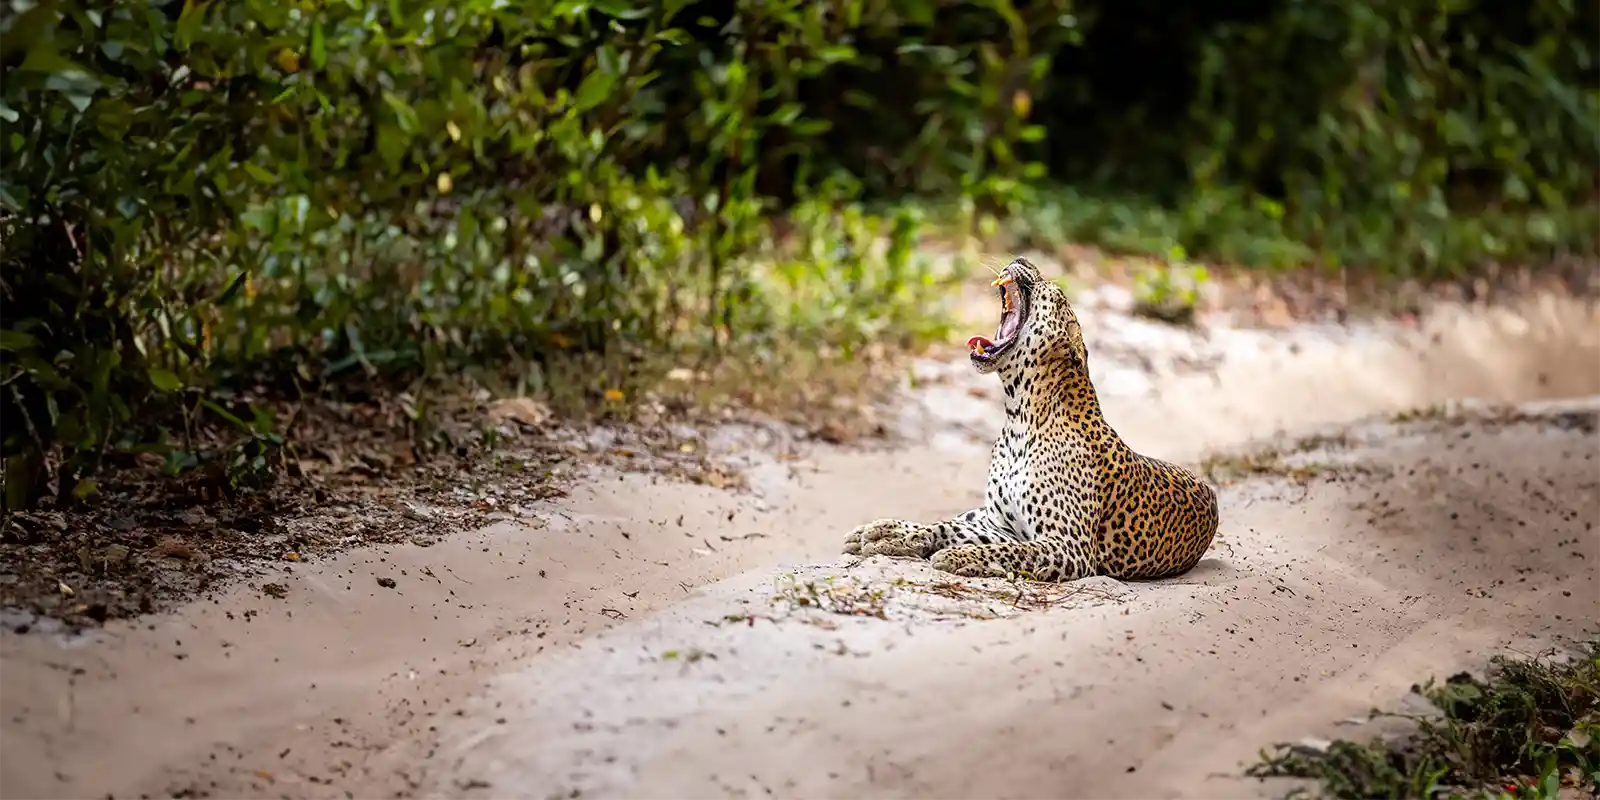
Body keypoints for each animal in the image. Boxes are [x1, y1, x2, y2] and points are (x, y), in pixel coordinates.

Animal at [841, 256, 1219, 582]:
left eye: (1056, 293)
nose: (1021, 257)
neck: (1019, 417)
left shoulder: (1068, 546)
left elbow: (1010, 552)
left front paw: (959, 557)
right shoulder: (997, 524)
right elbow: (950, 528)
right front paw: (894, 536)